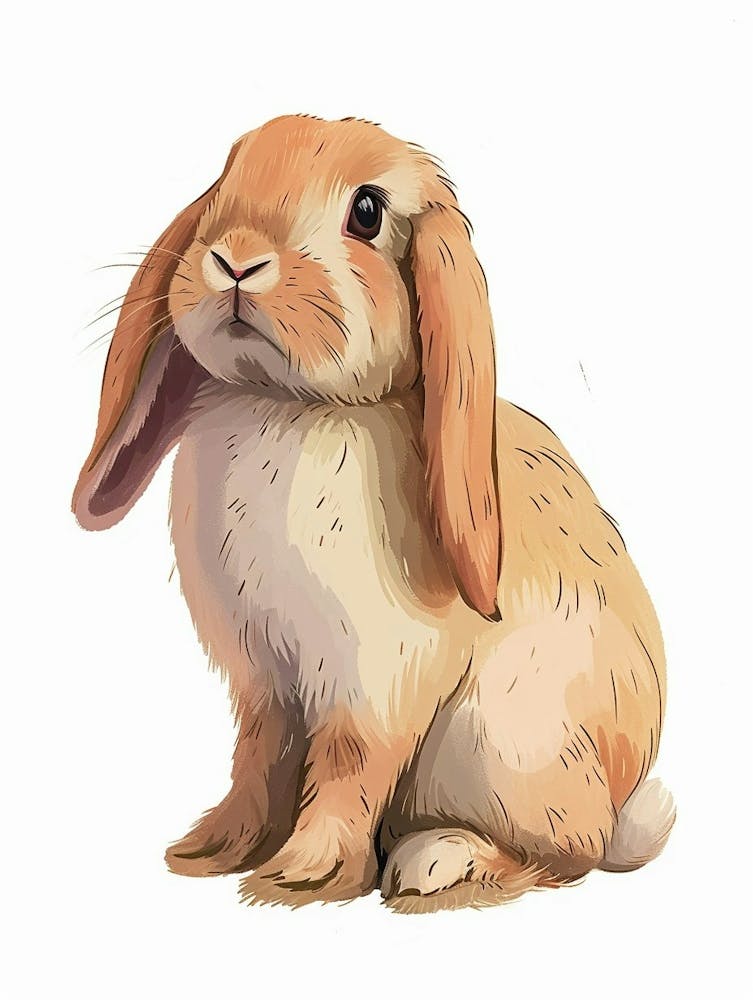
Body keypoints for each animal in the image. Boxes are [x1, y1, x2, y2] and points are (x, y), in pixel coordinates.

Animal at [72, 114, 675, 912]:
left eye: (366, 212)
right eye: (229, 172)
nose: (235, 260)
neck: (291, 405)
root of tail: (622, 799)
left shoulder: (375, 675)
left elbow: (347, 765)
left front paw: (300, 876)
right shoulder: (265, 677)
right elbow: (258, 757)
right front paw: (211, 850)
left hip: (504, 745)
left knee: (562, 854)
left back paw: (437, 862)